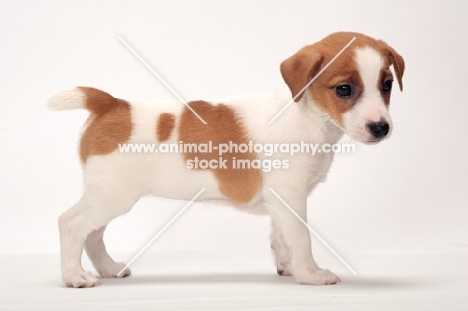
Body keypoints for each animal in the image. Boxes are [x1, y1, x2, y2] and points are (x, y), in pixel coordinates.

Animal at [49, 31, 404, 288]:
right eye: (344, 89)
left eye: (387, 85)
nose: (381, 128)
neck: (308, 117)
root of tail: (111, 104)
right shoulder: (291, 197)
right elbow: (301, 238)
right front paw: (311, 275)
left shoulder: (280, 202)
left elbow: (282, 237)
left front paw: (288, 267)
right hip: (112, 196)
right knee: (72, 224)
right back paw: (75, 277)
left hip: (107, 195)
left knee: (93, 234)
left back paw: (108, 268)